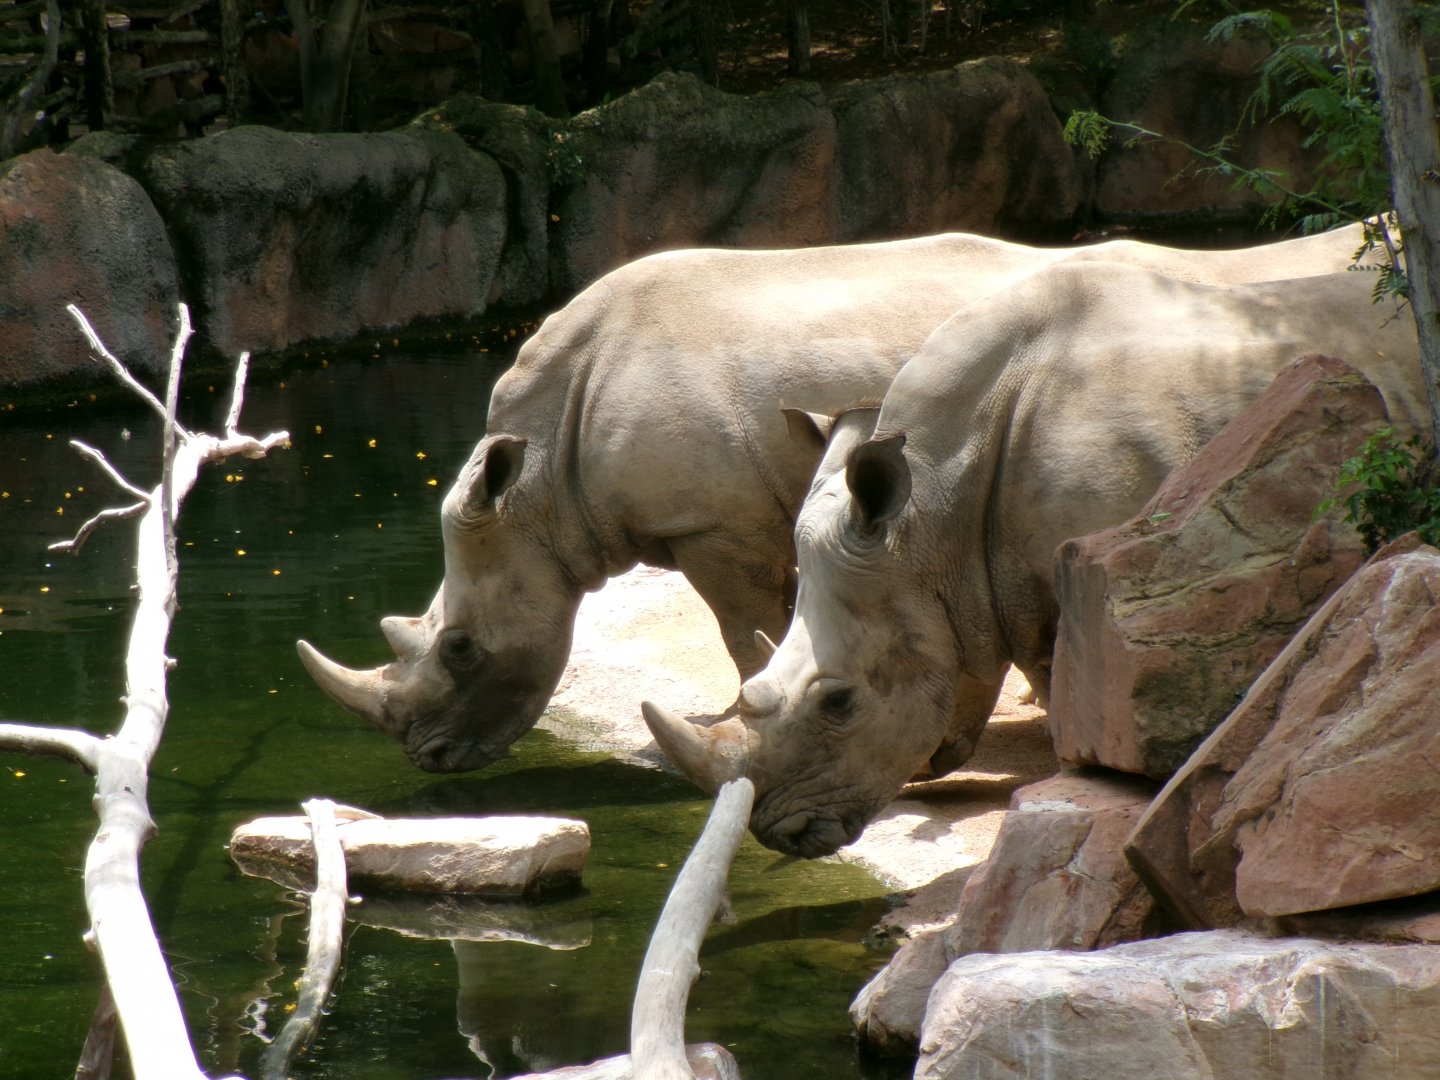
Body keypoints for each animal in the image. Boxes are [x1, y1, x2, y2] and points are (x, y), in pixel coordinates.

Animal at [297, 226, 1381, 773]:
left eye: (459, 648)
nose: (429, 759)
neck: (538, 487)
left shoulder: (717, 526)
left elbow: (747, 632)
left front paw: (741, 723)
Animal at [642, 261, 1428, 857]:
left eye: (839, 702)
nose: (778, 833)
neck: (935, 521)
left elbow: (1075, 692)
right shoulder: (1013, 587)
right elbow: (1046, 677)